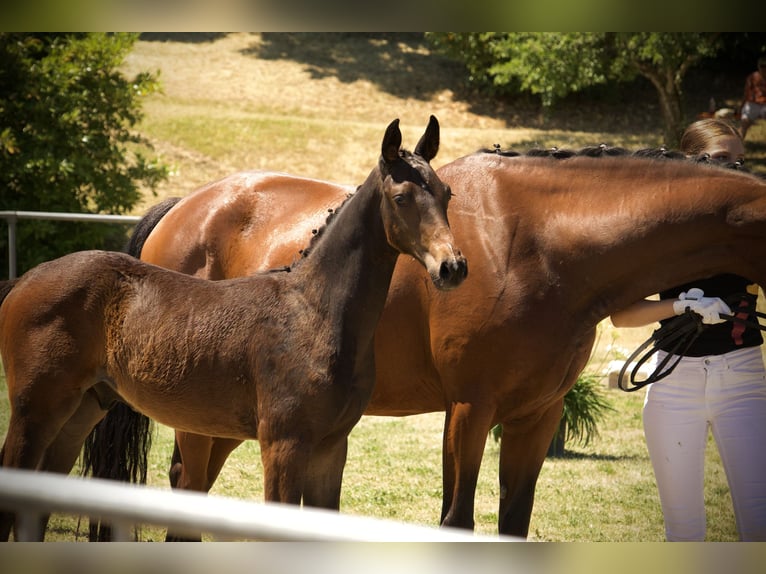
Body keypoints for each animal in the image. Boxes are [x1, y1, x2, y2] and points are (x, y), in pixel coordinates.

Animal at [0, 116, 468, 541]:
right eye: (401, 197)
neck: (314, 312)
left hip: (81, 409)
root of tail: (24, 279)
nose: (453, 267)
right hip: (35, 409)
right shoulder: (283, 444)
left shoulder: (331, 447)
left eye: (446, 194)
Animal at [88, 145, 766, 540]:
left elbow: (513, 524)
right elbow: (456, 520)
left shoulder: (536, 416)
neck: (538, 242)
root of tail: (187, 207)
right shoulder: (469, 409)